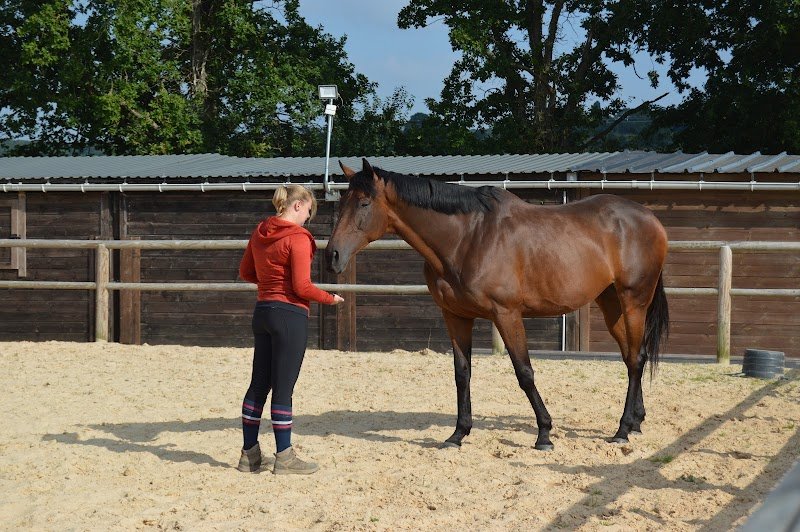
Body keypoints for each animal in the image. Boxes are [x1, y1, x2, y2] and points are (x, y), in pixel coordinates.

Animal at [326, 158, 669, 451]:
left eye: (364, 203)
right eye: (341, 204)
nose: (333, 256)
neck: (467, 239)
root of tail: (650, 218)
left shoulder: (507, 314)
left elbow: (524, 372)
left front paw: (544, 433)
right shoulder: (455, 316)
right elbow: (462, 373)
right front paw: (458, 433)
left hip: (634, 300)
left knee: (636, 359)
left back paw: (622, 430)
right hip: (610, 302)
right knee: (630, 357)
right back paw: (635, 421)